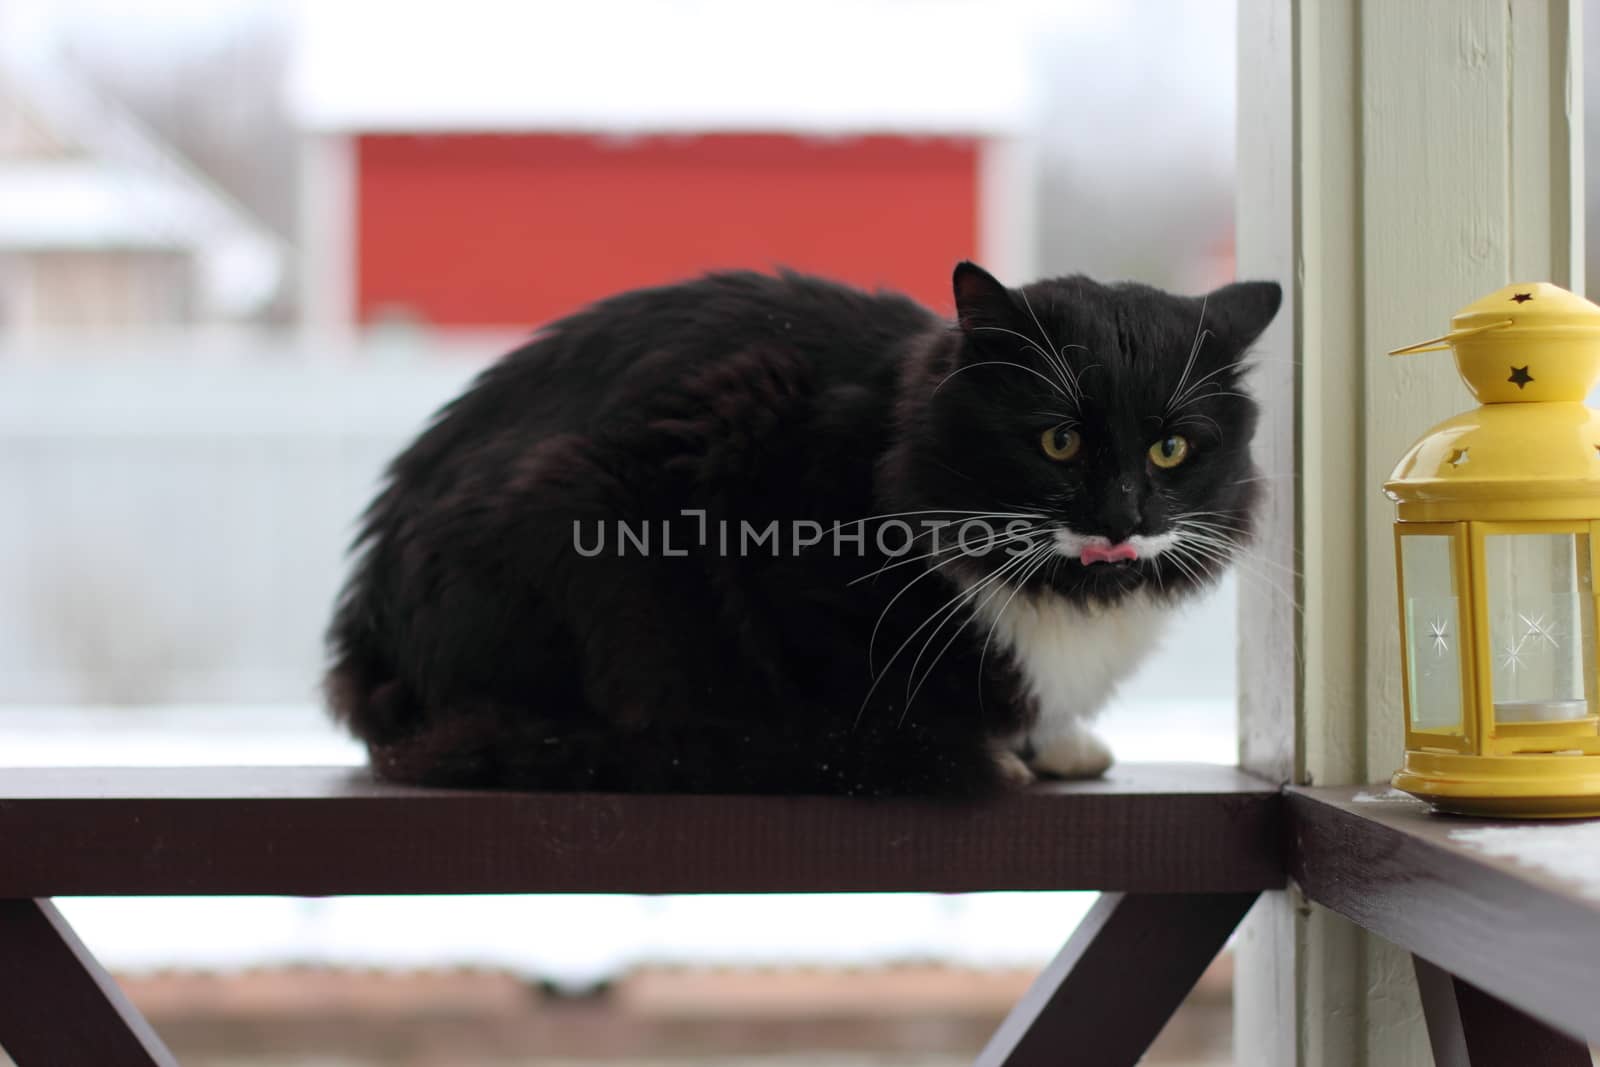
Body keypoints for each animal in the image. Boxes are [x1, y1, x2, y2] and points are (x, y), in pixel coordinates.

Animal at [324, 267, 1273, 796]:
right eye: (1060, 442)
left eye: (1172, 447)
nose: (1124, 517)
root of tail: (364, 643)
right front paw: (982, 751)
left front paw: (1055, 743)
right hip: (590, 506)